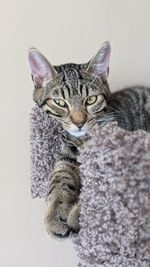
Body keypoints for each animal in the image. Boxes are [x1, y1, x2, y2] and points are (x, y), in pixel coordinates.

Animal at [27, 43, 150, 240]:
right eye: (60, 103)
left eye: (91, 100)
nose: (79, 123)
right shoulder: (68, 154)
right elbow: (59, 177)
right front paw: (55, 214)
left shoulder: (122, 157)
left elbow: (107, 187)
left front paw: (80, 215)